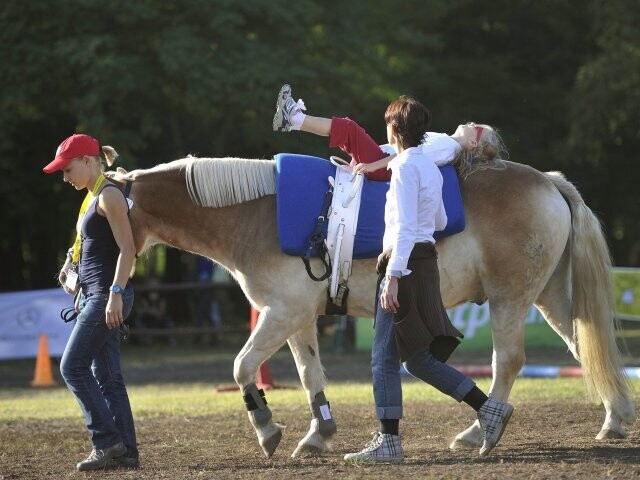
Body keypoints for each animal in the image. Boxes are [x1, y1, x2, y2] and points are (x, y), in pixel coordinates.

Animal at [106, 157, 636, 458]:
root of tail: (547, 182)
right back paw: (615, 419)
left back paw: (477, 433)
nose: (89, 276)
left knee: (507, 362)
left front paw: (267, 428)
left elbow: (241, 367)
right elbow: (309, 374)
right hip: (548, 298)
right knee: (584, 345)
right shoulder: (296, 318)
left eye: (101, 216)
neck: (254, 214)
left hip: (509, 301)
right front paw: (318, 434)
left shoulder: (282, 314)